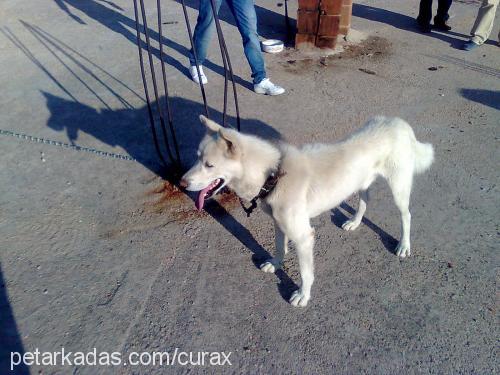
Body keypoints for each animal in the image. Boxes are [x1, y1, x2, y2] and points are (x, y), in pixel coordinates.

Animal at [181, 116, 434, 306]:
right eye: (197, 158)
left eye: (209, 165)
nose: (182, 183)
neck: (273, 174)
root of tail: (400, 123)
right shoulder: (279, 223)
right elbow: (280, 248)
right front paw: (276, 264)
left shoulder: (304, 237)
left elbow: (305, 272)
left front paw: (303, 295)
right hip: (362, 183)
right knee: (365, 200)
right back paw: (354, 222)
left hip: (398, 188)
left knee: (406, 215)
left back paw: (403, 245)